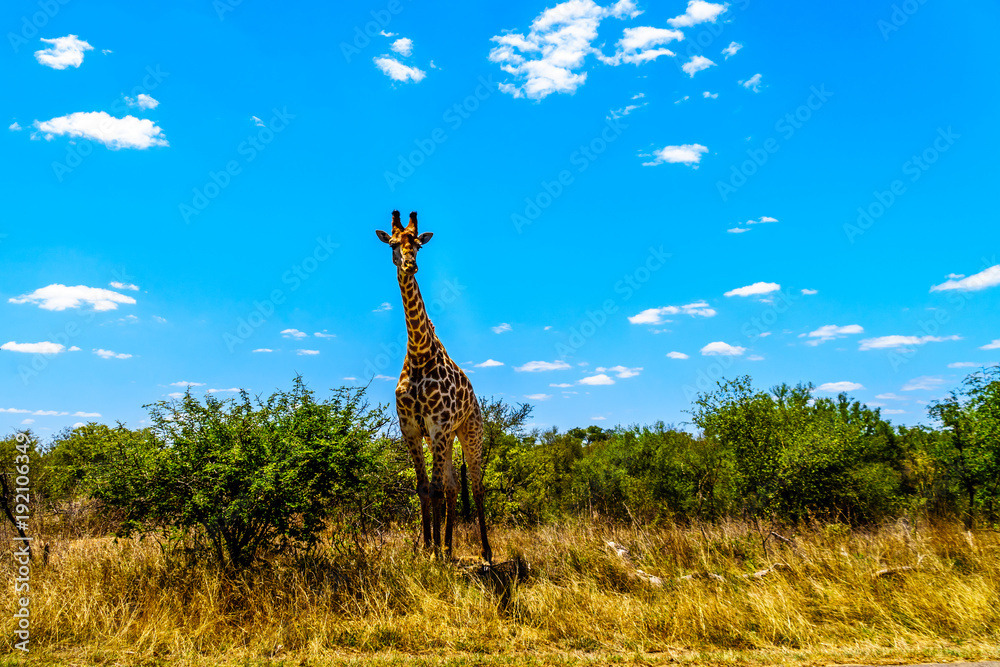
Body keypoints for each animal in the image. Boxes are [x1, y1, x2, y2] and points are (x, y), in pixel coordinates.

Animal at [376, 210, 493, 564]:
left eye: (418, 244)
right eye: (394, 243)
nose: (410, 264)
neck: (418, 353)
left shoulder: (438, 425)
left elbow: (437, 488)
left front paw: (436, 553)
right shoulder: (413, 429)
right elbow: (424, 488)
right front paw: (428, 548)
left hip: (469, 432)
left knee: (476, 486)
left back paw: (485, 551)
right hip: (445, 437)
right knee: (454, 486)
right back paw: (450, 546)